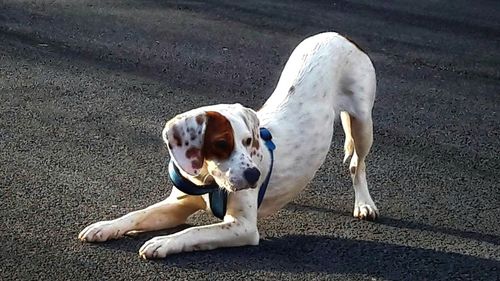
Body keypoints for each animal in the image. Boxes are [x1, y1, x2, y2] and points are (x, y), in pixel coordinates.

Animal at [78, 31, 378, 258]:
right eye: (221, 144)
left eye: (247, 141)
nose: (254, 176)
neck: (208, 180)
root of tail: (338, 35)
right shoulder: (176, 205)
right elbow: (136, 214)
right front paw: (106, 226)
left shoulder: (243, 227)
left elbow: (193, 231)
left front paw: (163, 242)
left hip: (363, 124)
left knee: (358, 164)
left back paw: (364, 203)